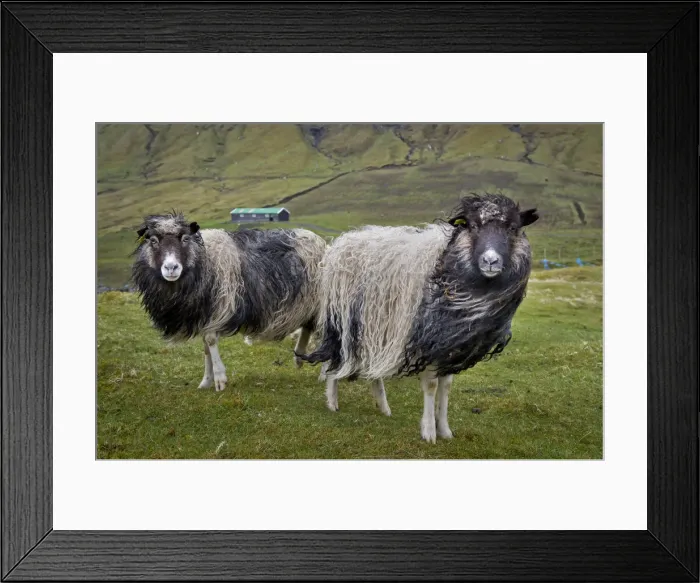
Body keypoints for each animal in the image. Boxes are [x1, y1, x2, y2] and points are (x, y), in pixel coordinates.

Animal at [131, 211, 326, 392]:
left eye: (185, 238)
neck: (204, 260)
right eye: (153, 241)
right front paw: (206, 381)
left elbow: (210, 341)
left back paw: (324, 374)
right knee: (308, 327)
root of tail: (321, 242)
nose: (171, 267)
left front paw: (219, 379)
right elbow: (206, 347)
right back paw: (299, 357)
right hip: (309, 303)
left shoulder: (220, 307)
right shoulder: (204, 314)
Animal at [297, 194, 538, 442]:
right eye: (472, 226)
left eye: (513, 228)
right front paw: (429, 431)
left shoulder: (450, 343)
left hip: (375, 324)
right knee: (334, 357)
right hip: (343, 318)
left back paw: (383, 406)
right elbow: (431, 386)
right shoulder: (427, 340)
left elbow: (446, 387)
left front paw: (445, 430)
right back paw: (332, 401)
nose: (490, 261)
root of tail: (345, 240)